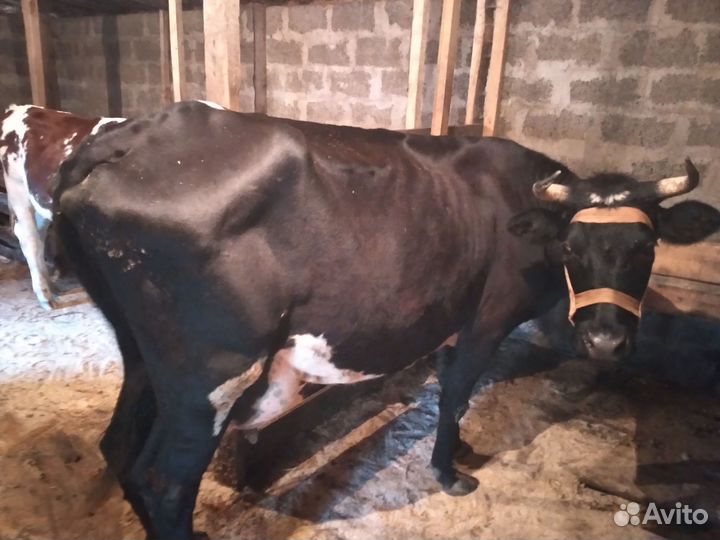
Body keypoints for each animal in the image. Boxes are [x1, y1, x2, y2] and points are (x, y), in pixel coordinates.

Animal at [0, 104, 124, 309]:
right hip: (17, 190)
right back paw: (44, 295)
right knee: (29, 238)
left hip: (39, 199)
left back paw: (52, 285)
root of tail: (18, 108)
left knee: (40, 238)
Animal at [53, 101, 719, 539]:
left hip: (145, 357)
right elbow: (455, 392)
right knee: (165, 481)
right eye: (572, 248)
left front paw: (463, 448)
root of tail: (127, 136)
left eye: (646, 247)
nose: (606, 340)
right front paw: (450, 472)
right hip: (212, 375)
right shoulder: (486, 318)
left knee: (119, 447)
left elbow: (455, 394)